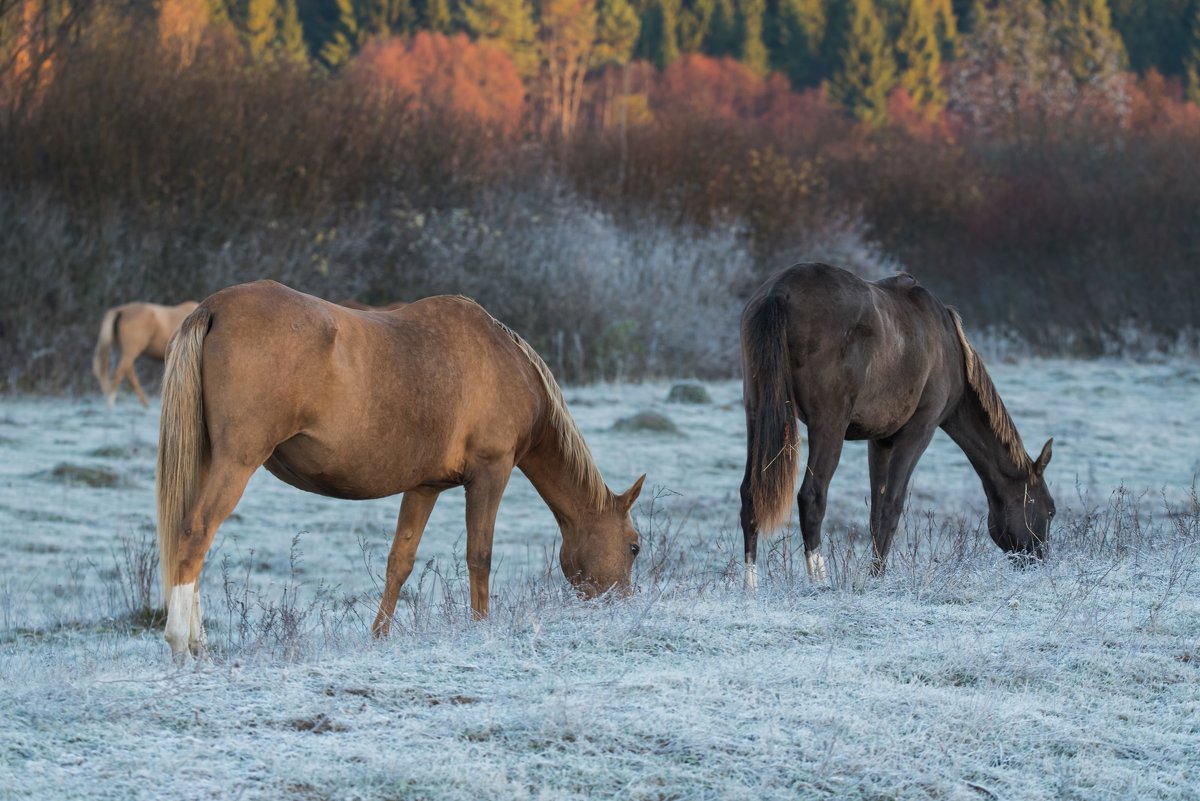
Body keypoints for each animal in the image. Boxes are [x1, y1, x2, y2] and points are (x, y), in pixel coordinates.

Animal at [159, 280, 648, 657]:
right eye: (634, 547)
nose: (625, 608)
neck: (503, 362)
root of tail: (213, 307)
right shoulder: (490, 474)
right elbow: (480, 556)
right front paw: (480, 627)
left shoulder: (424, 487)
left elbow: (400, 561)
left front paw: (379, 636)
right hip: (236, 463)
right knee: (196, 531)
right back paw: (183, 645)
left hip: (207, 460)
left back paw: (200, 645)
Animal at [734, 266, 1056, 585]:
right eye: (1051, 511)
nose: (1039, 561)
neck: (950, 349)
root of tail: (780, 291)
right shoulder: (920, 430)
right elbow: (892, 505)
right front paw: (877, 577)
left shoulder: (880, 441)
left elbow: (877, 511)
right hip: (828, 425)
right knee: (812, 496)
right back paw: (820, 582)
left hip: (757, 414)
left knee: (750, 494)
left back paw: (751, 586)